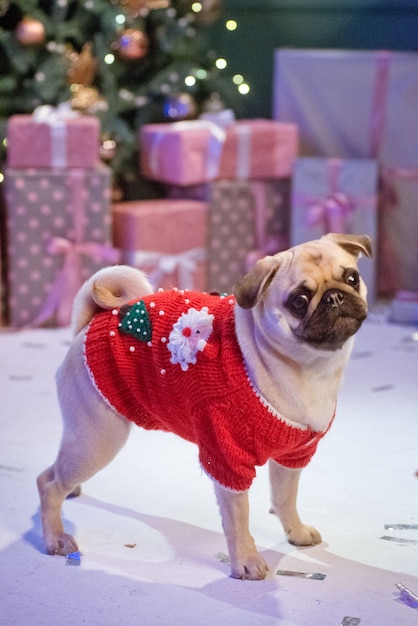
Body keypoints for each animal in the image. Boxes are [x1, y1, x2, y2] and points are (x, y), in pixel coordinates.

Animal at [36, 233, 372, 580]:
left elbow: (285, 498)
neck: (308, 368)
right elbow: (238, 518)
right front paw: (246, 560)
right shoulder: (227, 458)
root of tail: (90, 323)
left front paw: (296, 532)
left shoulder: (292, 456)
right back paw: (56, 537)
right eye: (299, 301)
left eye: (352, 278)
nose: (335, 297)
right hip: (98, 440)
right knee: (48, 483)